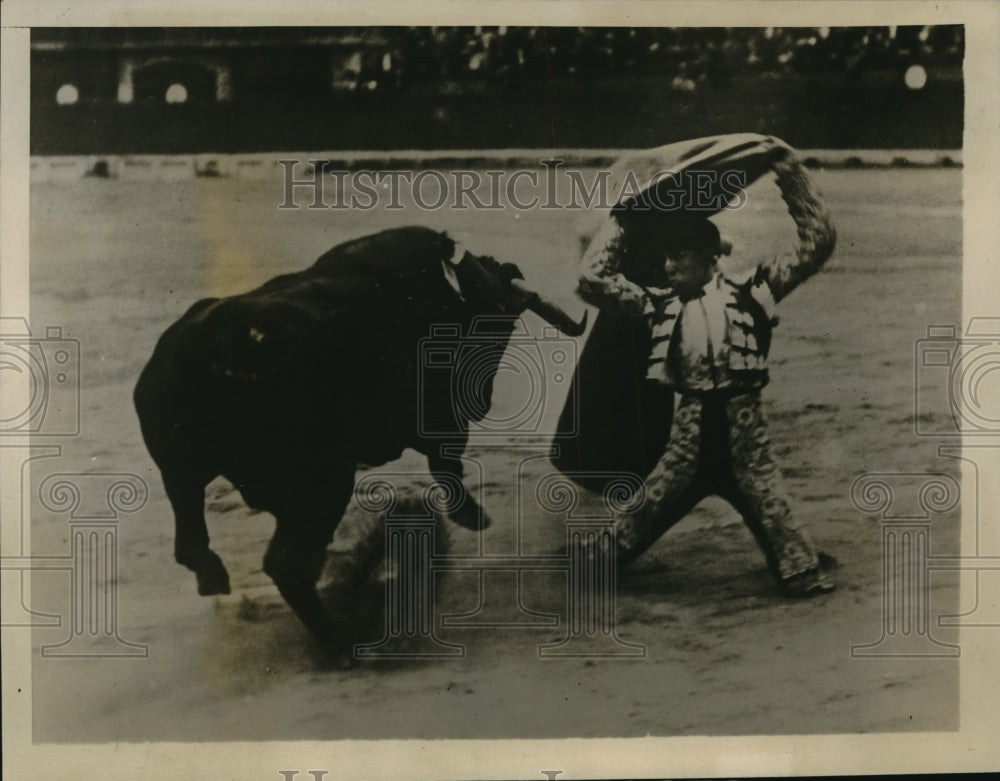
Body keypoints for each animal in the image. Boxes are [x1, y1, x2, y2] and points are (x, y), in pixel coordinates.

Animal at [135, 224, 584, 652]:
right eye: (497, 317)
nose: (482, 400)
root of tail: (199, 359)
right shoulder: (441, 417)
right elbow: (447, 462)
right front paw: (471, 515)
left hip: (184, 475)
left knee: (193, 545)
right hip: (321, 486)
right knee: (287, 565)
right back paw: (340, 638)